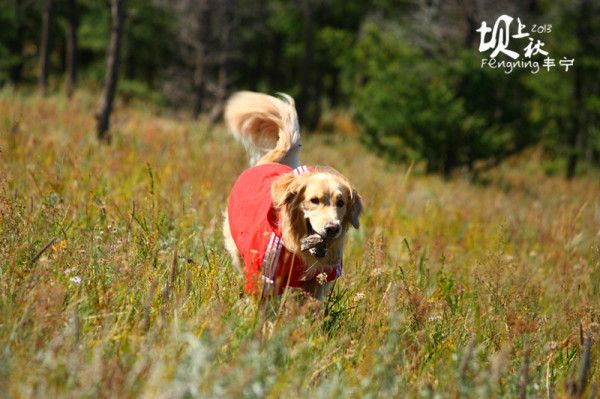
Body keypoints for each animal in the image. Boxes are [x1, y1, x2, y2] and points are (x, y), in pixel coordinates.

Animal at [221, 91, 358, 300]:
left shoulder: (320, 281)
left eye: (341, 203)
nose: (332, 228)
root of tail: (267, 162)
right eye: (314, 200)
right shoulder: (265, 273)